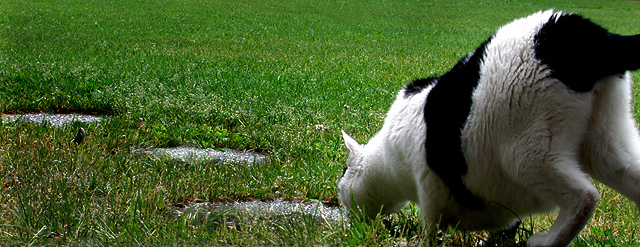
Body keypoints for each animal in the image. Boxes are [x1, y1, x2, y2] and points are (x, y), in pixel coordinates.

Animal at [338, 10, 640, 247]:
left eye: (342, 172)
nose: (350, 218)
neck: (389, 158)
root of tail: (596, 36)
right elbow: (505, 228)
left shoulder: (428, 189)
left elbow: (431, 231)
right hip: (606, 144)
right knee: (625, 171)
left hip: (526, 154)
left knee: (584, 196)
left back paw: (546, 241)